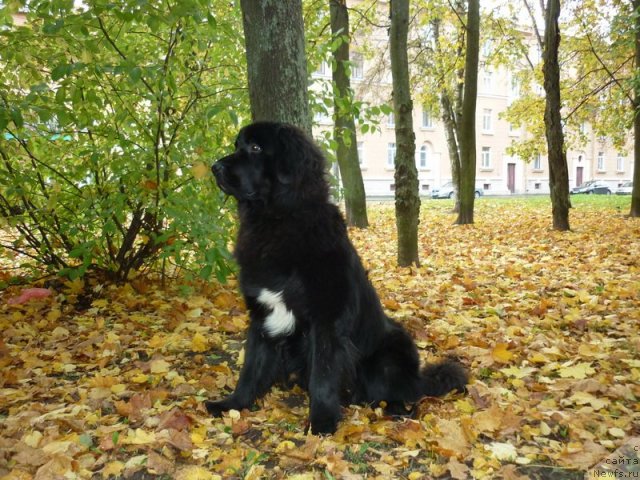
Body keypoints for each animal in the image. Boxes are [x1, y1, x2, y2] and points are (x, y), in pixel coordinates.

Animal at [208, 121, 468, 436]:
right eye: (237, 146)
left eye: (256, 148)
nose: (214, 167)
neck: (276, 220)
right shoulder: (262, 316)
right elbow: (251, 368)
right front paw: (232, 405)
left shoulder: (326, 323)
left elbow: (322, 375)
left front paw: (321, 423)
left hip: (390, 352)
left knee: (405, 395)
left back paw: (396, 410)